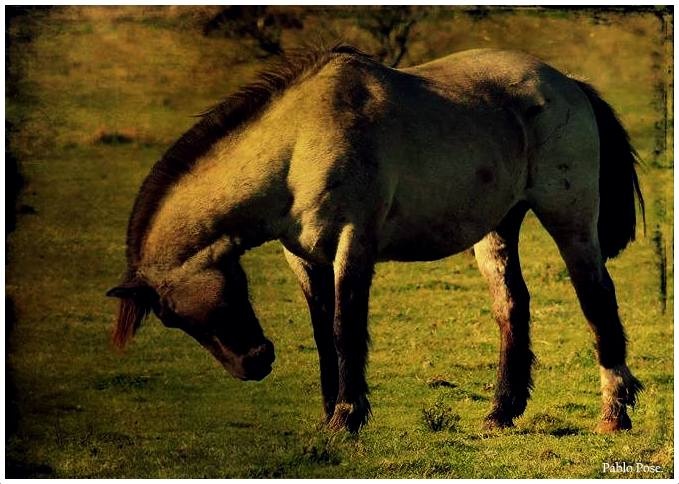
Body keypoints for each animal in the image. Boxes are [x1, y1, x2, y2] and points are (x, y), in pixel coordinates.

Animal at [107, 43, 648, 432]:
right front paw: (330, 416)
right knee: (512, 307)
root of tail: (568, 83)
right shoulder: (303, 257)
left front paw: (348, 417)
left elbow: (346, 327)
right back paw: (501, 412)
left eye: (171, 315)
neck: (299, 143)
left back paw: (614, 414)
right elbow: (323, 333)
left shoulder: (353, 245)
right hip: (498, 227)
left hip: (569, 220)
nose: (254, 363)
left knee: (598, 301)